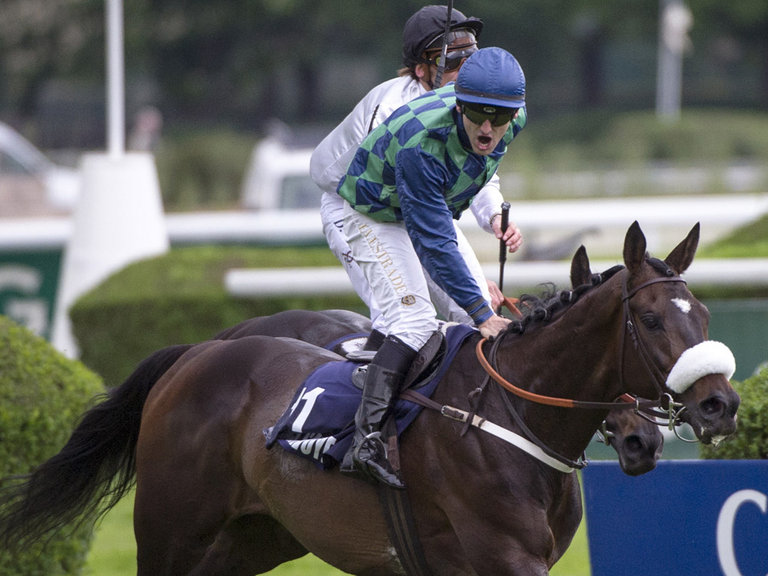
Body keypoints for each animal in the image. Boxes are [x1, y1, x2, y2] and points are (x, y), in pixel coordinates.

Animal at [1, 223, 744, 572]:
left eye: (705, 315)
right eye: (651, 320)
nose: (720, 405)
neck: (511, 418)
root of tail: (195, 354)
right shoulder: (506, 558)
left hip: (255, 536)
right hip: (170, 529)